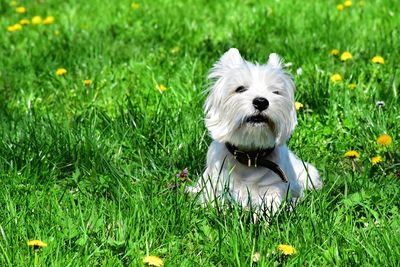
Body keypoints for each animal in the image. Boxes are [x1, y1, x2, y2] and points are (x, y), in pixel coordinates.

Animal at [190, 48, 322, 216]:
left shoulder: (274, 188)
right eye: (240, 89)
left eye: (275, 92)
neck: (250, 158)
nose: (261, 102)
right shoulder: (216, 185)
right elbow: (216, 203)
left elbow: (268, 207)